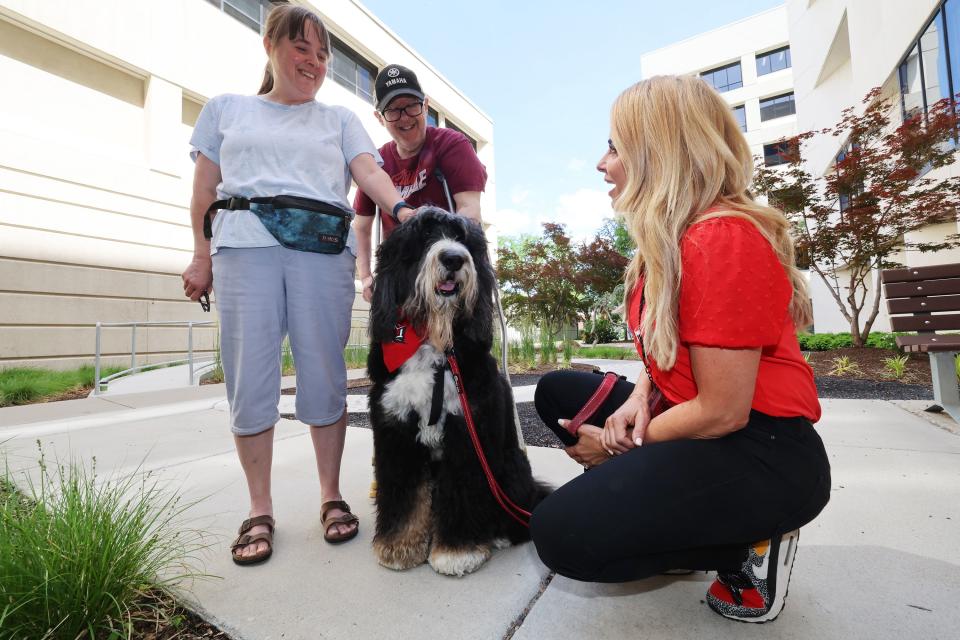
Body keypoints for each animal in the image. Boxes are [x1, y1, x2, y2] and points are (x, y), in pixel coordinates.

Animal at [366, 208, 548, 576]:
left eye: (463, 238)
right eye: (424, 235)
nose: (453, 258)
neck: (432, 341)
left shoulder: (467, 428)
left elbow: (462, 488)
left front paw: (457, 550)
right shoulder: (396, 430)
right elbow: (405, 491)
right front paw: (398, 545)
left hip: (509, 468)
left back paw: (499, 534)